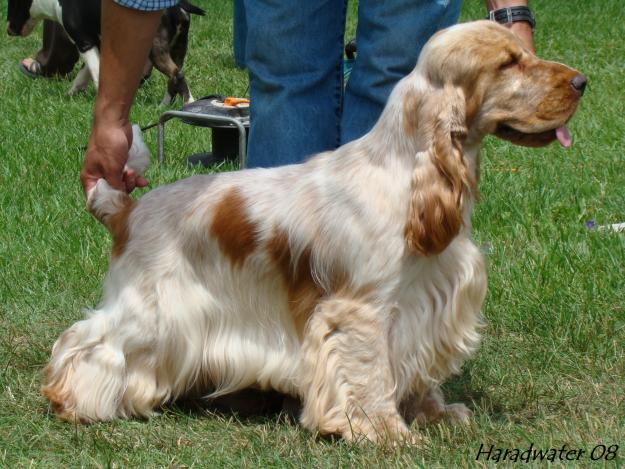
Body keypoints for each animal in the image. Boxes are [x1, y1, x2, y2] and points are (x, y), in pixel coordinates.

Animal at [6, 0, 205, 103]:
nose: (8, 30)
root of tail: (179, 7)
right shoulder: (96, 44)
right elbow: (83, 74)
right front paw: (70, 95)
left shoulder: (84, 42)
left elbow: (95, 72)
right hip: (178, 48)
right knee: (174, 77)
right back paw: (163, 106)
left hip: (156, 49)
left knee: (176, 74)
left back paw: (189, 103)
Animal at [41, 20, 584, 440]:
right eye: (508, 63)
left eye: (524, 53)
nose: (581, 81)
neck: (405, 176)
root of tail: (127, 210)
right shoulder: (362, 309)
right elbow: (370, 373)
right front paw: (385, 432)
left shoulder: (425, 301)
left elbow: (415, 368)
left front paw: (434, 412)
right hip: (151, 308)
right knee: (85, 342)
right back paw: (72, 401)